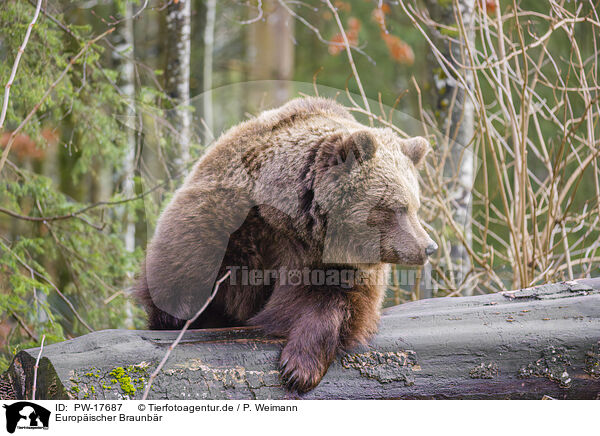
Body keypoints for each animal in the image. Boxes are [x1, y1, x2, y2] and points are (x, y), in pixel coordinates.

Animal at [135, 97, 436, 394]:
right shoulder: (227, 218)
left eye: (415, 206)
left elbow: (334, 302)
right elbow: (185, 267)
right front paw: (175, 318)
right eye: (398, 207)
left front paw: (299, 368)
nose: (428, 247)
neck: (291, 219)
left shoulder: (326, 260)